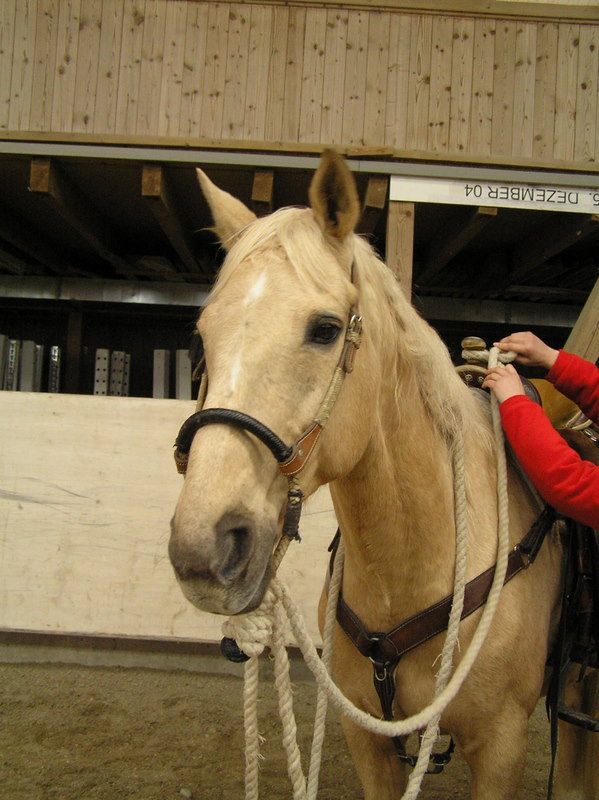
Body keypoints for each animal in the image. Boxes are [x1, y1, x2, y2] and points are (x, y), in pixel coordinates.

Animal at [169, 150, 598, 800]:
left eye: (324, 329)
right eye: (201, 336)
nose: (204, 547)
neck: (412, 563)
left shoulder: (501, 745)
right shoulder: (367, 740)